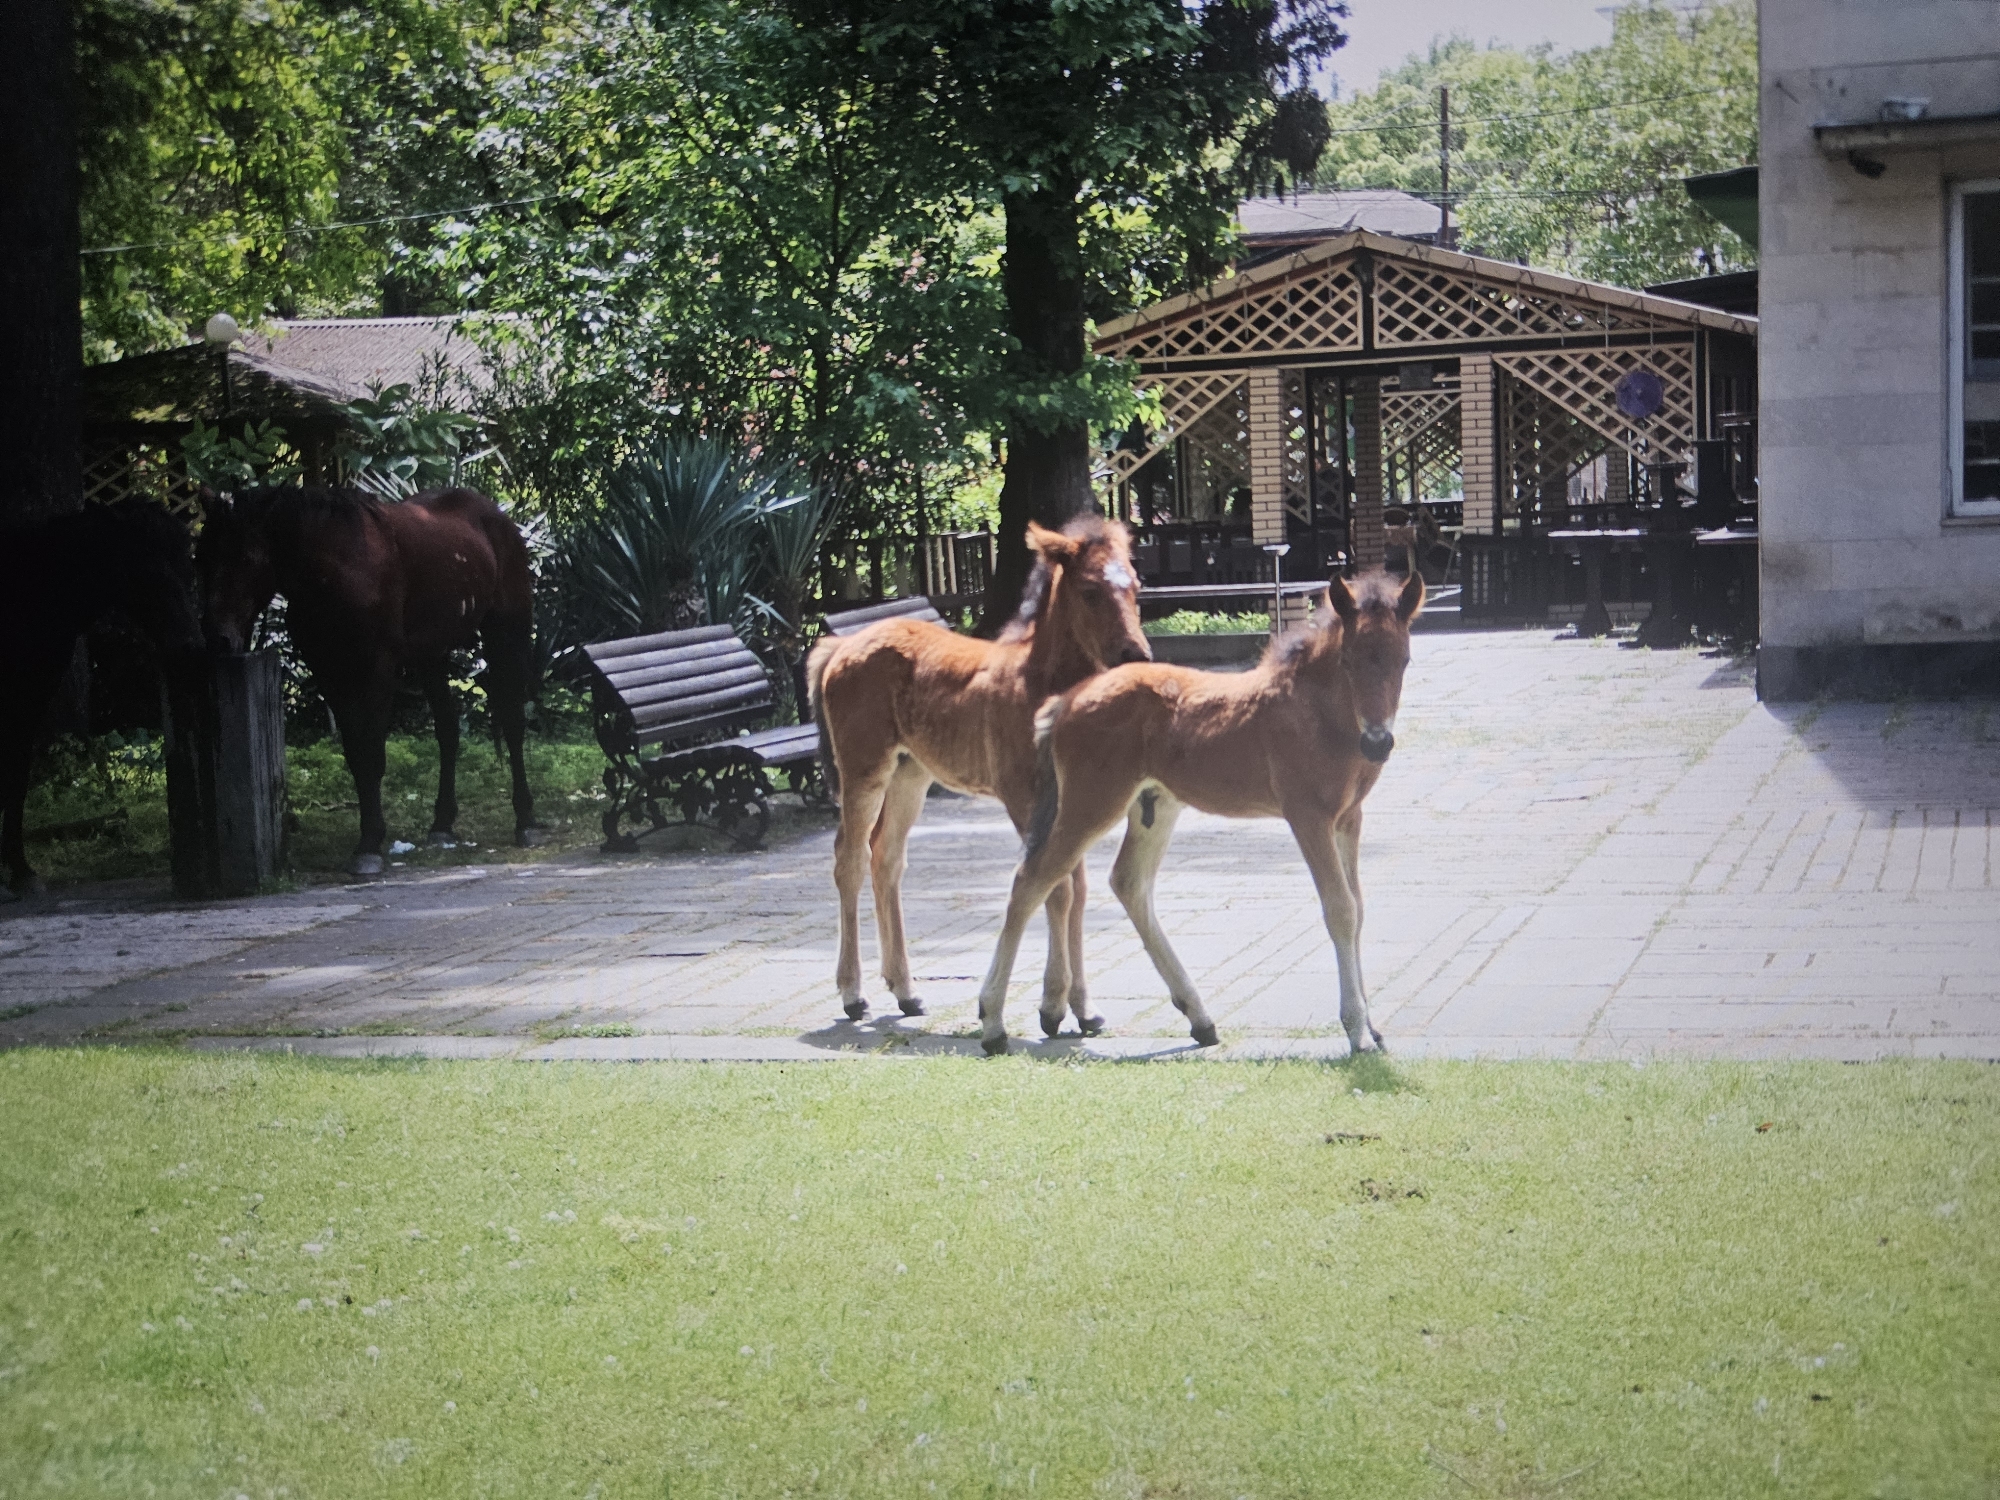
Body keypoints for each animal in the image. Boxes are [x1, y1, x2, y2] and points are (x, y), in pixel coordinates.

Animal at [2, 503, 205, 895]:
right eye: (145, 573)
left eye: (189, 568)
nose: (189, 645)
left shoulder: (27, 705)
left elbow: (15, 783)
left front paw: (22, 873)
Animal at [198, 486, 540, 876]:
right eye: (201, 558)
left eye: (246, 557)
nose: (218, 639)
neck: (339, 566)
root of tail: (497, 516)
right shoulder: (329, 673)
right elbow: (355, 754)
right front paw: (368, 838)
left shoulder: (377, 669)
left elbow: (373, 753)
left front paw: (371, 844)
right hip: (431, 655)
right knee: (448, 731)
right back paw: (442, 824)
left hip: (506, 632)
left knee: (513, 724)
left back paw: (526, 820)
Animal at [807, 517, 1151, 1028]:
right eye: (1090, 591)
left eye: (1135, 586)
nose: (1136, 655)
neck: (1038, 684)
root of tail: (840, 645)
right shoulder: (1022, 799)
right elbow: (1056, 887)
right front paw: (1053, 1007)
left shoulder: (1068, 798)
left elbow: (1078, 887)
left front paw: (1084, 1008)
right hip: (864, 767)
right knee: (848, 857)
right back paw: (853, 994)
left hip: (910, 774)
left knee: (886, 858)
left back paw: (906, 991)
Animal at [971, 569, 1424, 1055]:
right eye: (1349, 661)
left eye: (1403, 660)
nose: (1378, 742)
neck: (1319, 716)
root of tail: (1065, 701)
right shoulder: (1309, 817)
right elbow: (1340, 910)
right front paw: (1358, 1032)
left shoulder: (1348, 820)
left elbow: (1358, 908)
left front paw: (1373, 1027)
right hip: (1090, 802)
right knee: (1032, 879)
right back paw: (993, 1023)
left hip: (1154, 805)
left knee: (1128, 882)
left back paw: (1199, 1017)